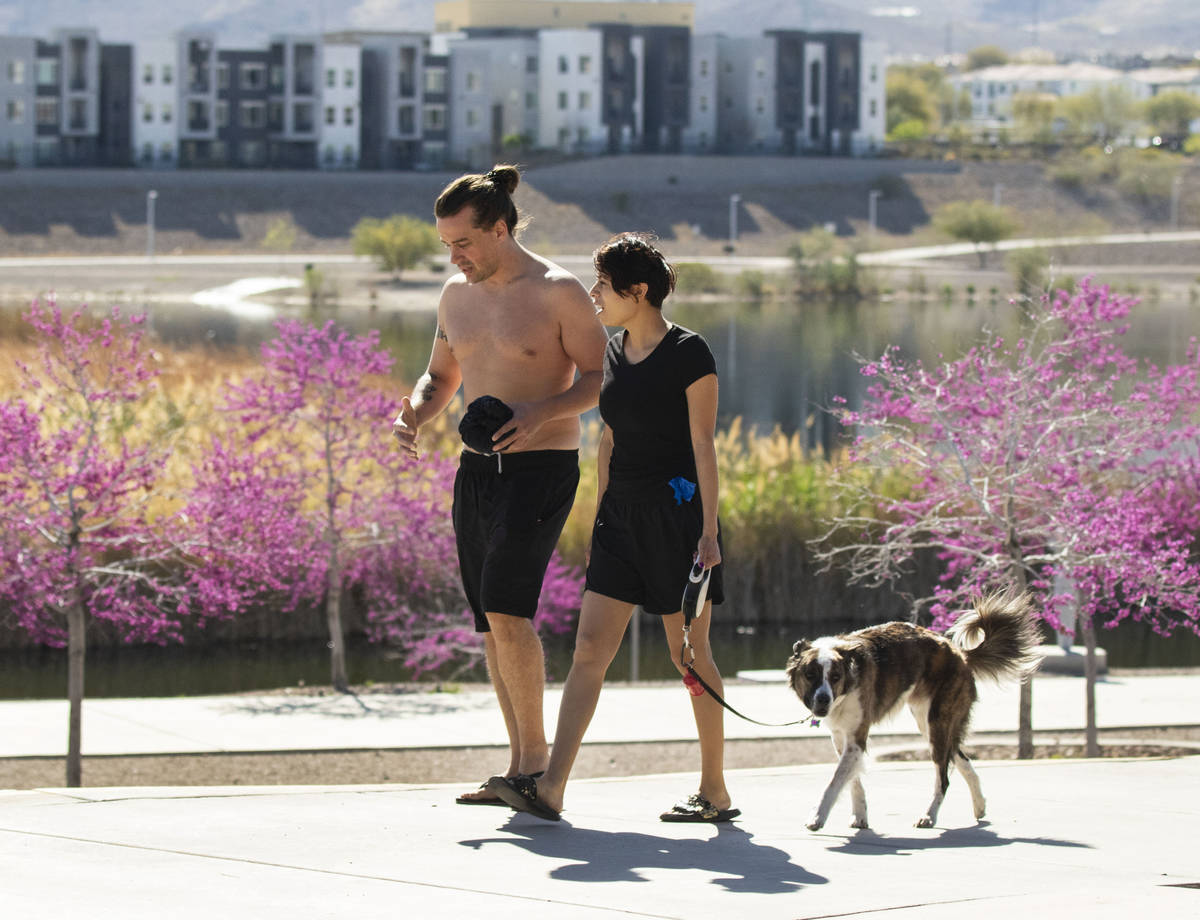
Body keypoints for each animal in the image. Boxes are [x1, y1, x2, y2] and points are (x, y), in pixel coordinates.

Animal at [787, 594, 1041, 830]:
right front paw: (859, 816)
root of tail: (959, 653)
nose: (823, 698)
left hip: (937, 723)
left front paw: (817, 816)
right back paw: (979, 806)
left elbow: (835, 781)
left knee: (944, 778)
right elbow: (852, 780)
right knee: (962, 760)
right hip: (931, 725)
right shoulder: (842, 738)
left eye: (835, 677)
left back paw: (929, 816)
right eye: (810, 675)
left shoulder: (856, 738)